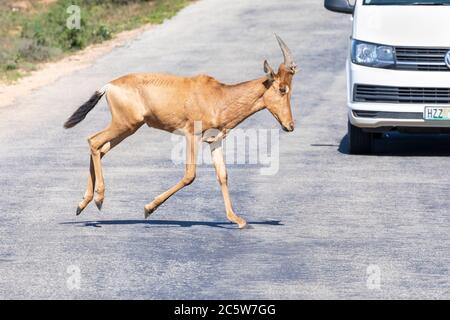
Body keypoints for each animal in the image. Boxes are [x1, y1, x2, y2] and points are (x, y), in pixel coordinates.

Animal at [63, 35, 296, 229]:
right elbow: (190, 175)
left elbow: (223, 175)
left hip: (127, 129)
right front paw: (148, 209)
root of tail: (109, 85)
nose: (290, 125)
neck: (218, 95)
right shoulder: (192, 135)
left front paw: (237, 220)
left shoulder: (214, 141)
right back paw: (98, 200)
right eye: (282, 89)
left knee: (99, 149)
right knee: (93, 141)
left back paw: (82, 204)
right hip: (124, 125)